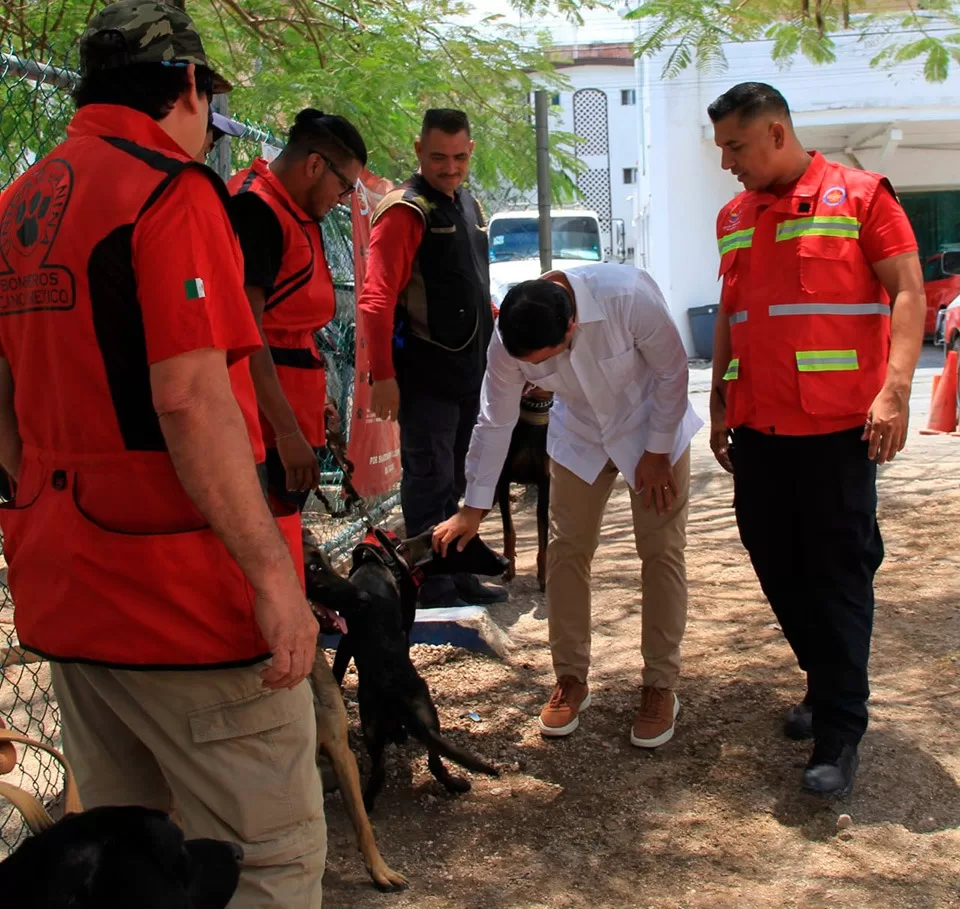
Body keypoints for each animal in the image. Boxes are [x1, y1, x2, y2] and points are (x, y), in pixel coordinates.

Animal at [304, 528, 506, 812]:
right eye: (472, 545)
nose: (505, 562)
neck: (401, 558)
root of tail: (393, 689)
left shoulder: (345, 640)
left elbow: (338, 670)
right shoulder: (406, 622)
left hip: (379, 724)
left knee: (386, 771)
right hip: (425, 715)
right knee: (428, 763)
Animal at [496, 382, 556, 588]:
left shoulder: (545, 484)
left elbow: (543, 538)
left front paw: (543, 576)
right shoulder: (503, 479)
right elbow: (508, 530)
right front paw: (509, 569)